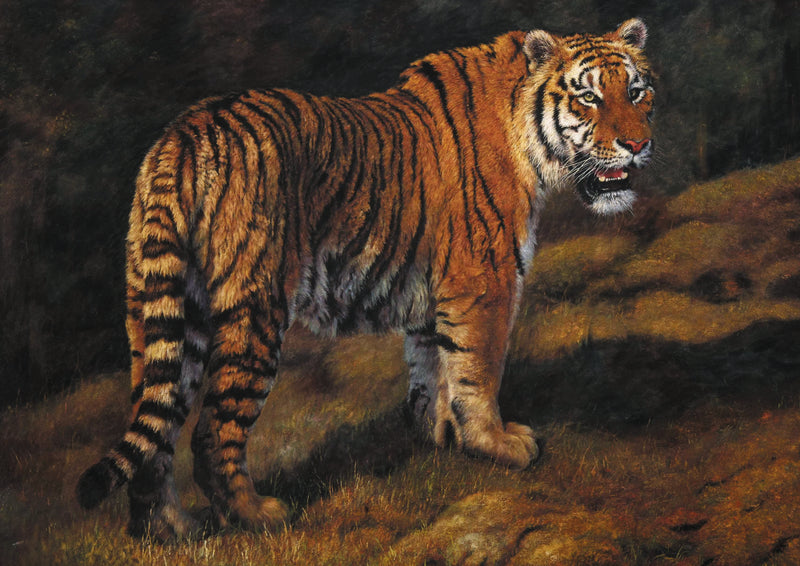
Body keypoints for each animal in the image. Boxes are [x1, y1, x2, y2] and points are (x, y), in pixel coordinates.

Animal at [77, 18, 654, 539]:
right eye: (589, 98)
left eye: (636, 90)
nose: (636, 144)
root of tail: (183, 133)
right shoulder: (484, 282)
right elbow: (478, 371)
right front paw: (497, 444)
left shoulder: (435, 295)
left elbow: (433, 369)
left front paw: (440, 438)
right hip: (253, 312)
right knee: (211, 433)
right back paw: (257, 516)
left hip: (162, 312)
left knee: (155, 429)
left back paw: (168, 530)